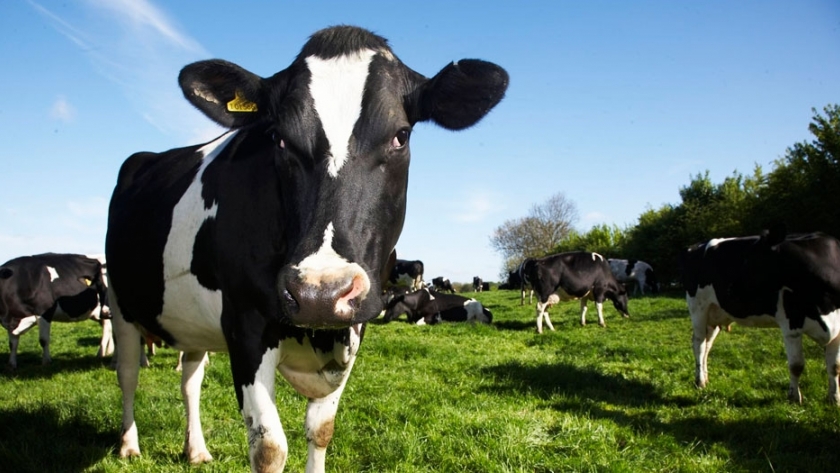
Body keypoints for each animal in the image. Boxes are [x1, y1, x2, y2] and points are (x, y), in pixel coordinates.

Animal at [105, 25, 507, 472]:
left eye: (400, 136)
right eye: (278, 138)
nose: (320, 293)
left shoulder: (355, 326)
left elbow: (321, 429)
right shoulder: (245, 324)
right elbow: (268, 448)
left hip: (190, 322)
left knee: (190, 379)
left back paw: (196, 450)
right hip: (120, 302)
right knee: (127, 374)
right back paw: (128, 444)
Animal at [681, 226, 840, 405]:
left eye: (749, 258)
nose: (732, 286)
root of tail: (695, 246)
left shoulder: (837, 328)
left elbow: (835, 366)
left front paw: (834, 399)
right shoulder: (791, 325)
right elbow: (796, 365)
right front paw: (794, 397)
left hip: (715, 314)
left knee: (707, 345)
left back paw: (705, 377)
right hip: (698, 309)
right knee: (699, 344)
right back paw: (700, 381)